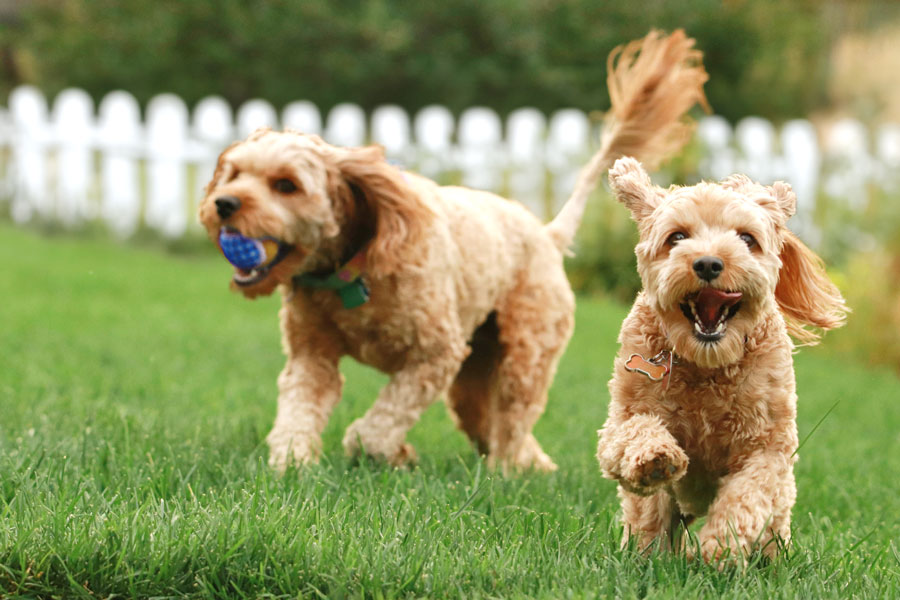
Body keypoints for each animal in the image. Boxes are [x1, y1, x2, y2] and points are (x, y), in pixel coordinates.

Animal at [199, 31, 712, 474]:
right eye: (234, 173)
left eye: (286, 185)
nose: (222, 204)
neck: (352, 270)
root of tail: (546, 234)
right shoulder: (312, 356)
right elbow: (299, 410)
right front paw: (292, 463)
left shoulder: (435, 353)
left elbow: (377, 426)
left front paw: (384, 450)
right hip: (473, 374)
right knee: (490, 421)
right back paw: (531, 464)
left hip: (525, 354)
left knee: (513, 417)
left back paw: (510, 470)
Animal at [600, 158, 848, 564]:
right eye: (676, 237)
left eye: (746, 239)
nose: (708, 263)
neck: (707, 362)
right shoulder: (622, 417)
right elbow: (635, 433)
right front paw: (655, 457)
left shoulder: (768, 445)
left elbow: (747, 494)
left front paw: (721, 546)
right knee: (651, 517)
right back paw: (647, 554)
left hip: (779, 509)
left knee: (773, 526)